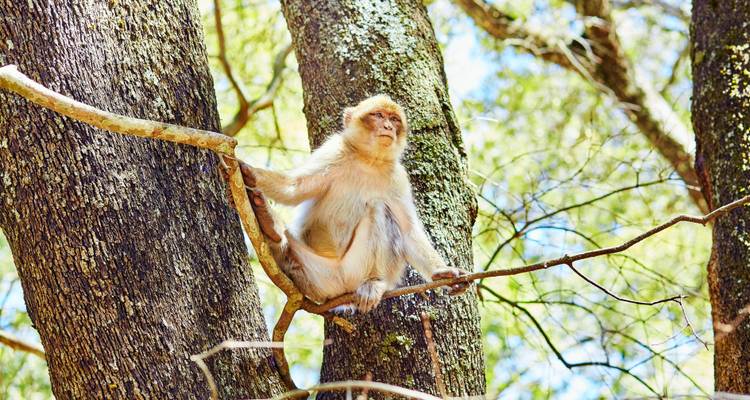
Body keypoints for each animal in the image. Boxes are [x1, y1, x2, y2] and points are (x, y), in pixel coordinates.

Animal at [242, 95, 468, 313]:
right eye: (378, 115)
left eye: (394, 119)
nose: (388, 127)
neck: (368, 160)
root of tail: (341, 288)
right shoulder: (332, 152)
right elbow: (294, 188)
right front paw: (251, 173)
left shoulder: (398, 178)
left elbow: (408, 230)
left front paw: (442, 273)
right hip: (318, 277)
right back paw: (271, 227)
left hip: (354, 270)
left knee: (378, 208)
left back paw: (373, 282)